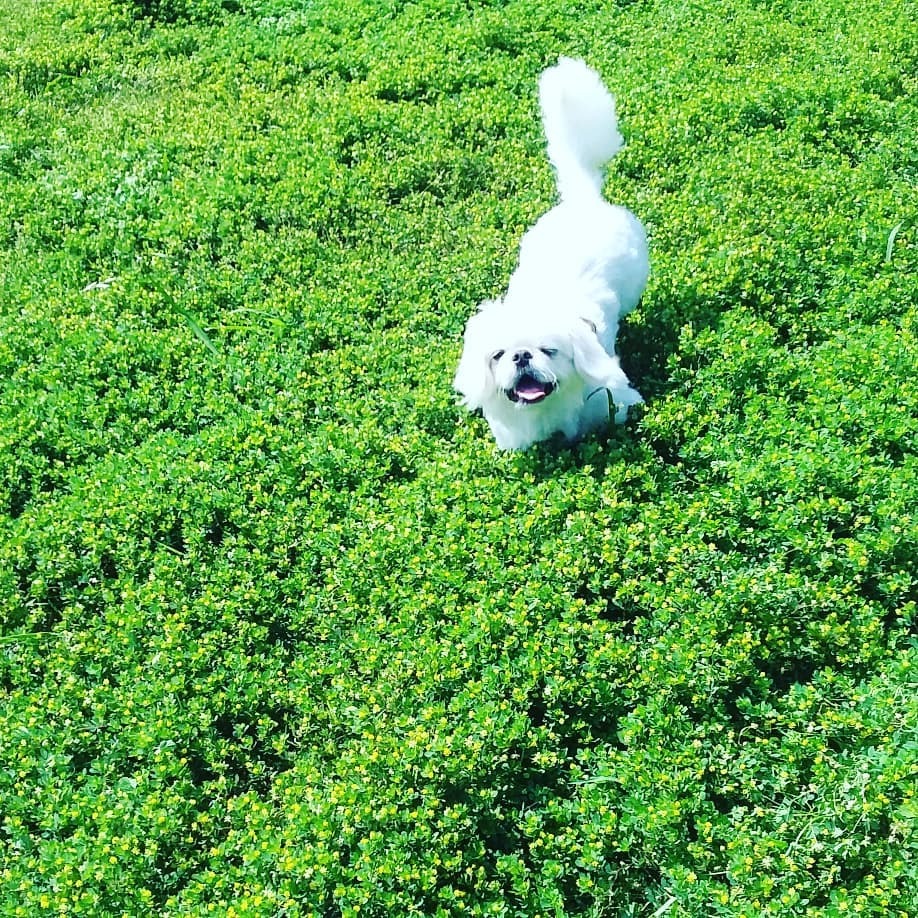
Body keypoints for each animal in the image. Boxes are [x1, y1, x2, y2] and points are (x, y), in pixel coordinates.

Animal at [456, 55, 652, 452]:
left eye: (549, 350)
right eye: (499, 355)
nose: (521, 355)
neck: (551, 411)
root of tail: (582, 197)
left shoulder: (617, 404)